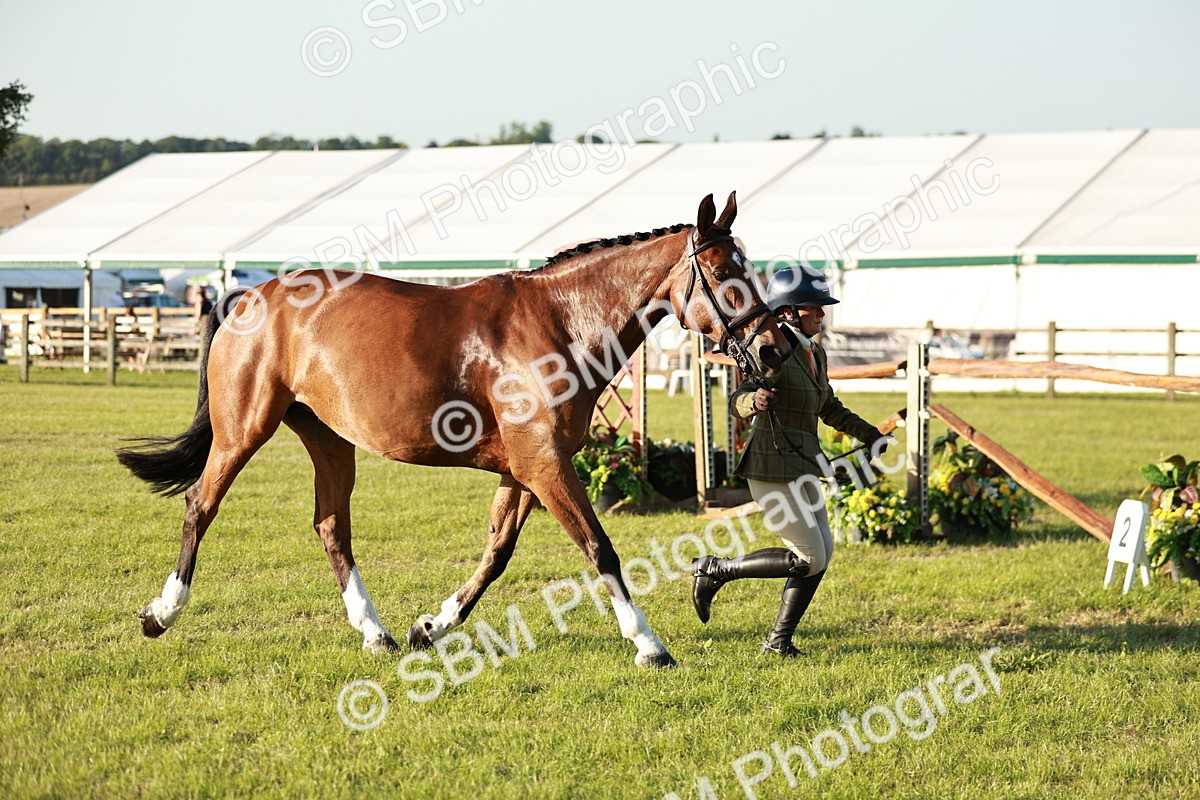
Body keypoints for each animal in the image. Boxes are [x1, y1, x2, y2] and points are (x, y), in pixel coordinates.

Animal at [116, 191, 792, 669]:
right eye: (725, 274)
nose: (774, 348)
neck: (559, 323)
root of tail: (249, 295)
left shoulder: (527, 470)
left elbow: (496, 554)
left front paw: (431, 625)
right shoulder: (546, 466)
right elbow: (600, 547)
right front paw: (648, 644)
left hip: (329, 440)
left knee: (332, 527)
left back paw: (377, 633)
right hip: (242, 432)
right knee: (200, 505)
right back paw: (161, 613)